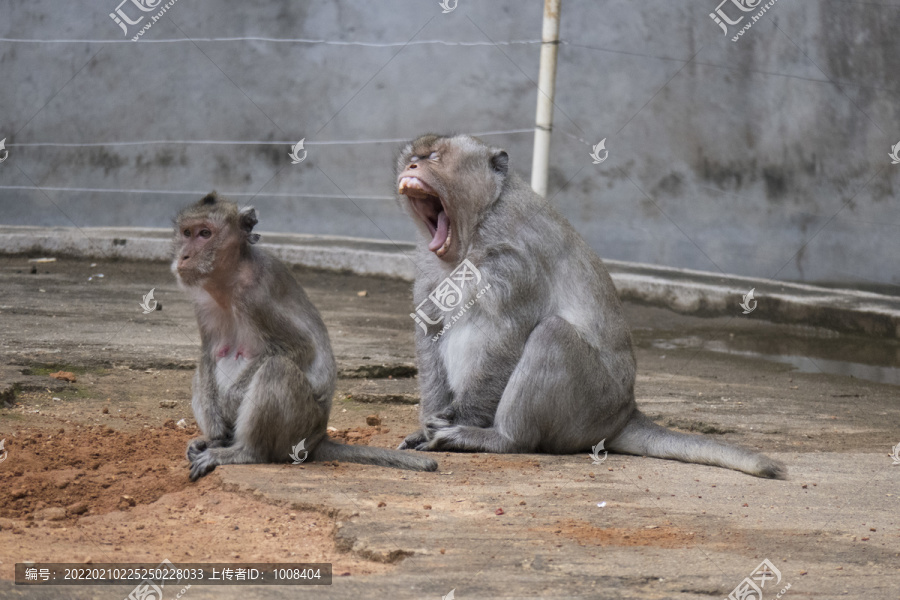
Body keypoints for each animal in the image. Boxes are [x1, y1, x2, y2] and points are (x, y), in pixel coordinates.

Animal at [173, 195, 440, 480]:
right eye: (186, 233)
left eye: (205, 234)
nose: (184, 256)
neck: (229, 279)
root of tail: (318, 437)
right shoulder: (203, 303)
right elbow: (208, 355)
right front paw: (214, 424)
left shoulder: (256, 296)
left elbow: (299, 349)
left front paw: (231, 400)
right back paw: (214, 441)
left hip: (299, 426)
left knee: (277, 368)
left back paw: (245, 451)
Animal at [398, 134, 784, 480]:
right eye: (413, 157)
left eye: (434, 157)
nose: (411, 167)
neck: (477, 224)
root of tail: (624, 413)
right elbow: (431, 329)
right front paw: (427, 424)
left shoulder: (515, 258)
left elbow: (507, 334)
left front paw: (459, 419)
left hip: (590, 404)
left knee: (551, 334)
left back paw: (502, 439)